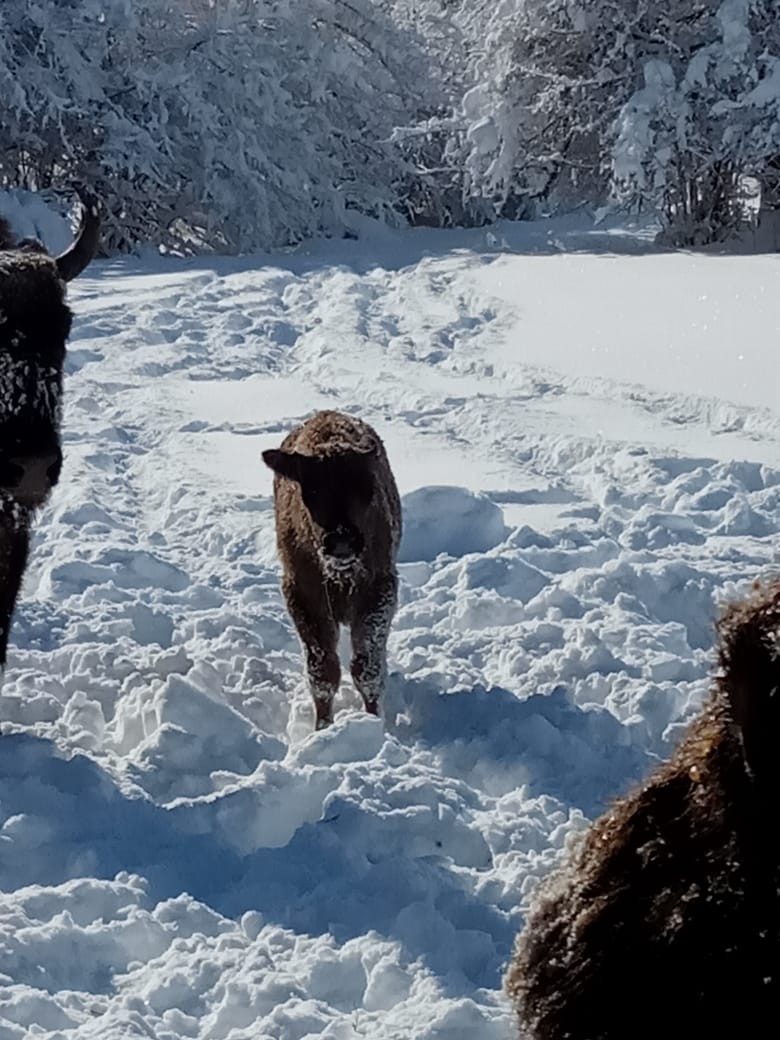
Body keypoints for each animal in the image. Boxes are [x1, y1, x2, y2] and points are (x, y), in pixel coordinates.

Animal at [264, 409, 403, 728]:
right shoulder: (304, 598)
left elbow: (367, 669)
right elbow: (323, 671)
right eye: (310, 490)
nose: (342, 541)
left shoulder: (379, 591)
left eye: (367, 488)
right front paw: (322, 728)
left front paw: (373, 722)